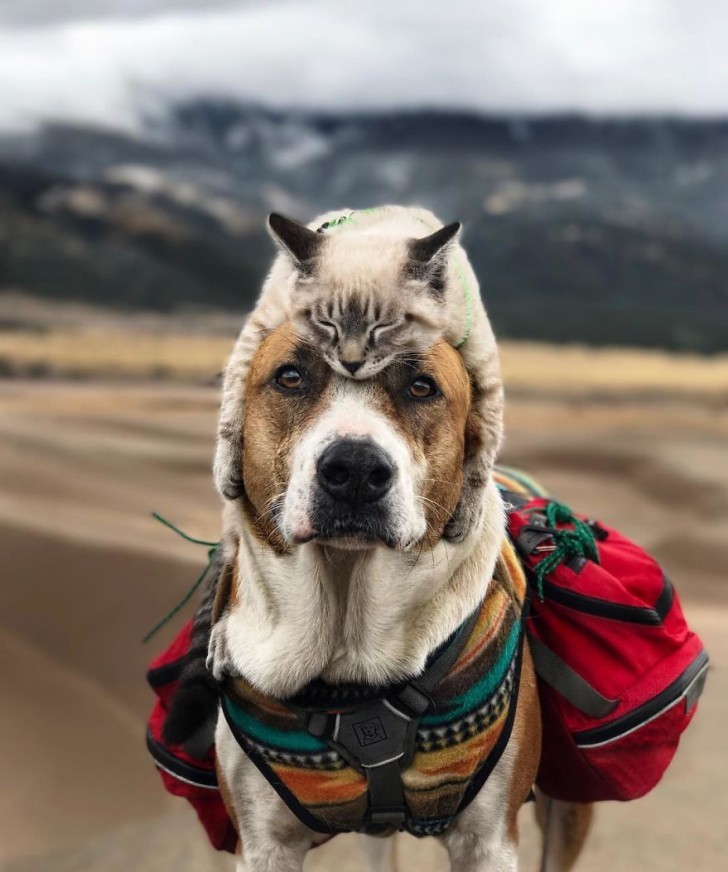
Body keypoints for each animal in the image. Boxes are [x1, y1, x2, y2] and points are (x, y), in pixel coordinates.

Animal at [205, 322, 592, 872]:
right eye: (290, 376)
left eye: (421, 387)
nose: (354, 467)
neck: (349, 648)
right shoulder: (263, 843)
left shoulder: (489, 840)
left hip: (568, 809)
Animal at [213, 207, 504, 540]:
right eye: (326, 323)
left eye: (384, 326)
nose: (350, 363)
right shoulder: (260, 325)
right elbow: (233, 397)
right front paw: (226, 469)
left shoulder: (481, 360)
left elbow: (485, 444)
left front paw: (468, 513)